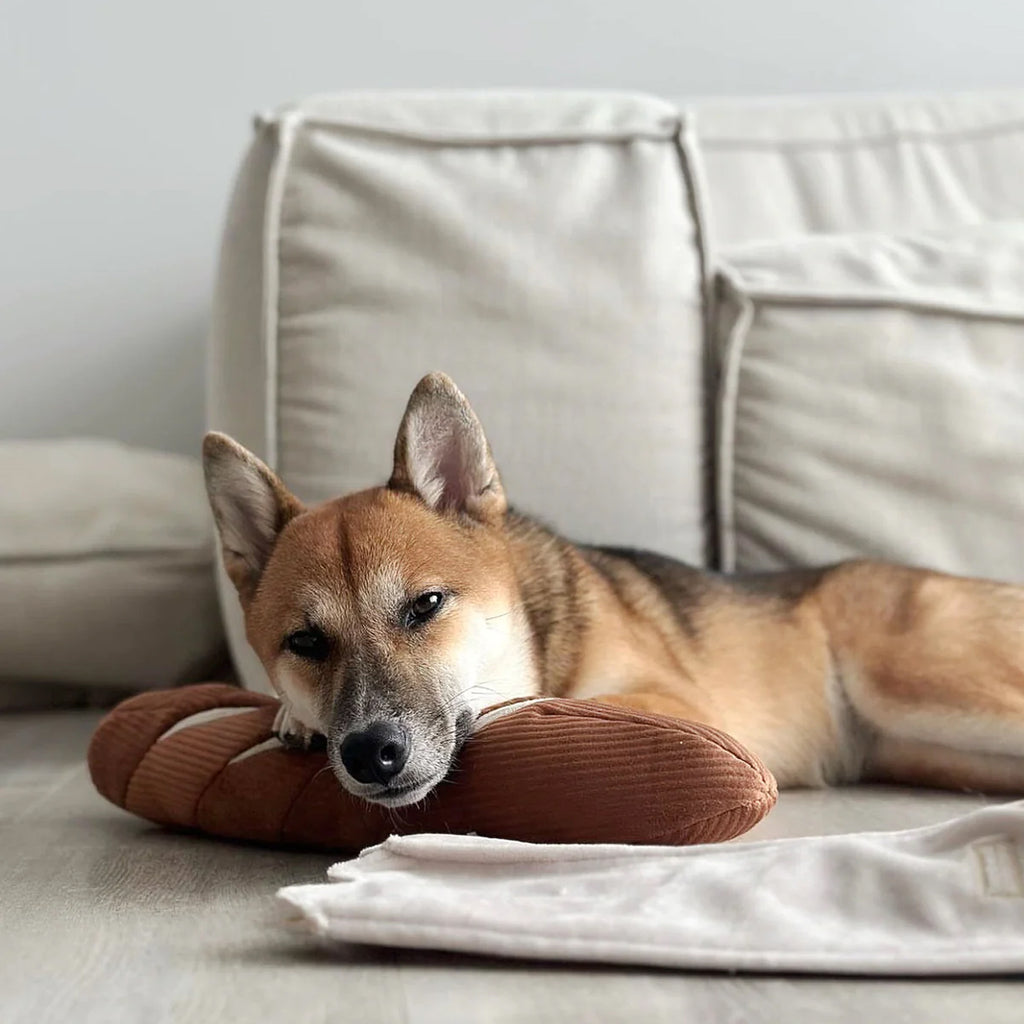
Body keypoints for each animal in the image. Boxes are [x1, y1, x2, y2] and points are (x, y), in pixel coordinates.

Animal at [203, 372, 1024, 802]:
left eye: (426, 605)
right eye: (305, 642)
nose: (371, 752)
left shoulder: (678, 708)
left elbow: (533, 705)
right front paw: (295, 717)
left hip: (918, 681)